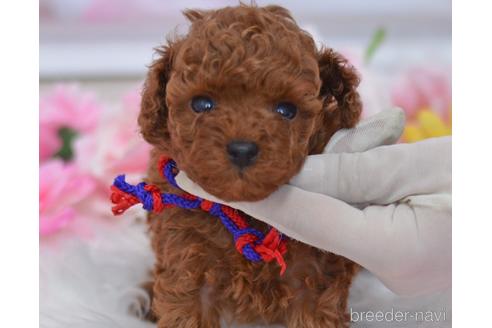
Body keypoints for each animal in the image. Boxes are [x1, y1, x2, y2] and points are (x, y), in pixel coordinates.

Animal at [138, 3, 362, 326]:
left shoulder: (315, 277)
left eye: (287, 110)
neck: (247, 214)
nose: (242, 149)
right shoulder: (187, 261)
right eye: (201, 104)